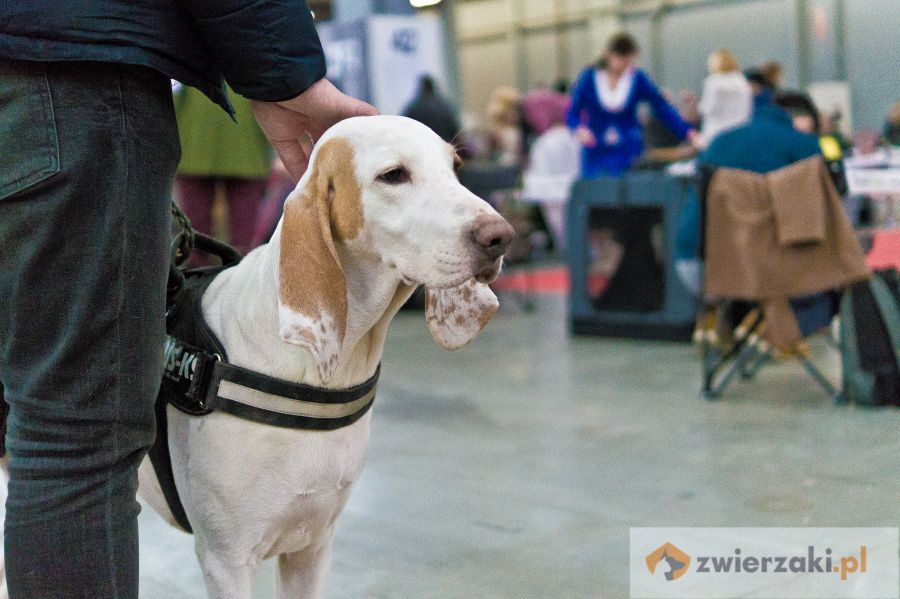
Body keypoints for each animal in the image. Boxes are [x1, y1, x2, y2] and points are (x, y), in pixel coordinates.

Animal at [0, 115, 512, 596]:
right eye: (393, 175)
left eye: (455, 167)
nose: (500, 236)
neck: (319, 369)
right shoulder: (227, 561)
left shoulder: (312, 549)